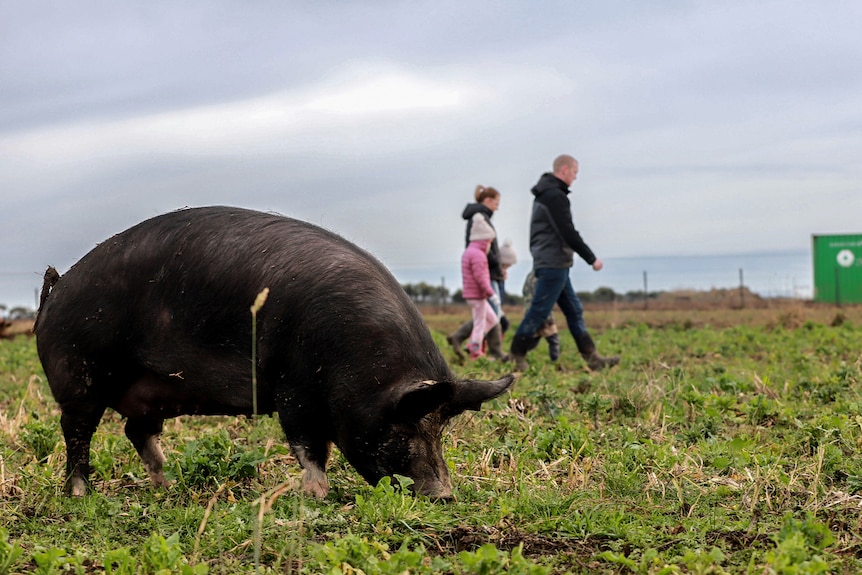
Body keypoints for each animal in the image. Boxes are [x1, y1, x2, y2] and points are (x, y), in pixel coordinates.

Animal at [35, 208, 512, 500]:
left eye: (443, 430)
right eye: (404, 425)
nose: (443, 496)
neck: (352, 358)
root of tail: (57, 289)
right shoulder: (292, 384)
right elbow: (309, 446)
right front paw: (317, 495)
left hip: (150, 391)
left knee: (137, 430)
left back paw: (167, 486)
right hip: (77, 375)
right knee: (77, 432)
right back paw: (80, 493)